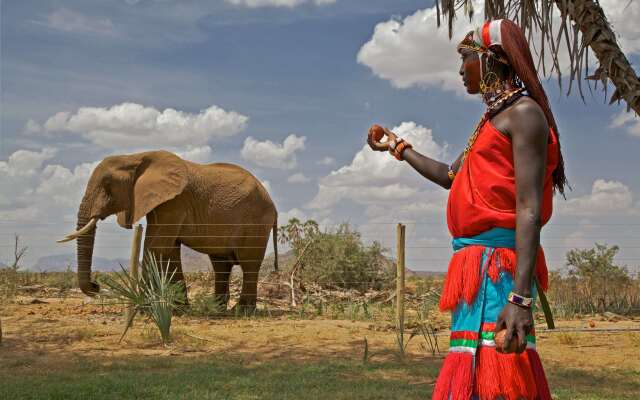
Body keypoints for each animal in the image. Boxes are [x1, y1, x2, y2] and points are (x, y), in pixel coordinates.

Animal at [59, 150, 278, 310]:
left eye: (107, 185)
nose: (96, 285)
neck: (135, 157)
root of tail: (273, 204)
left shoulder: (173, 202)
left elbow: (156, 247)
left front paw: (145, 309)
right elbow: (170, 250)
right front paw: (179, 309)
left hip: (256, 223)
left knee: (249, 264)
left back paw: (241, 311)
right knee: (221, 264)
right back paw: (216, 309)